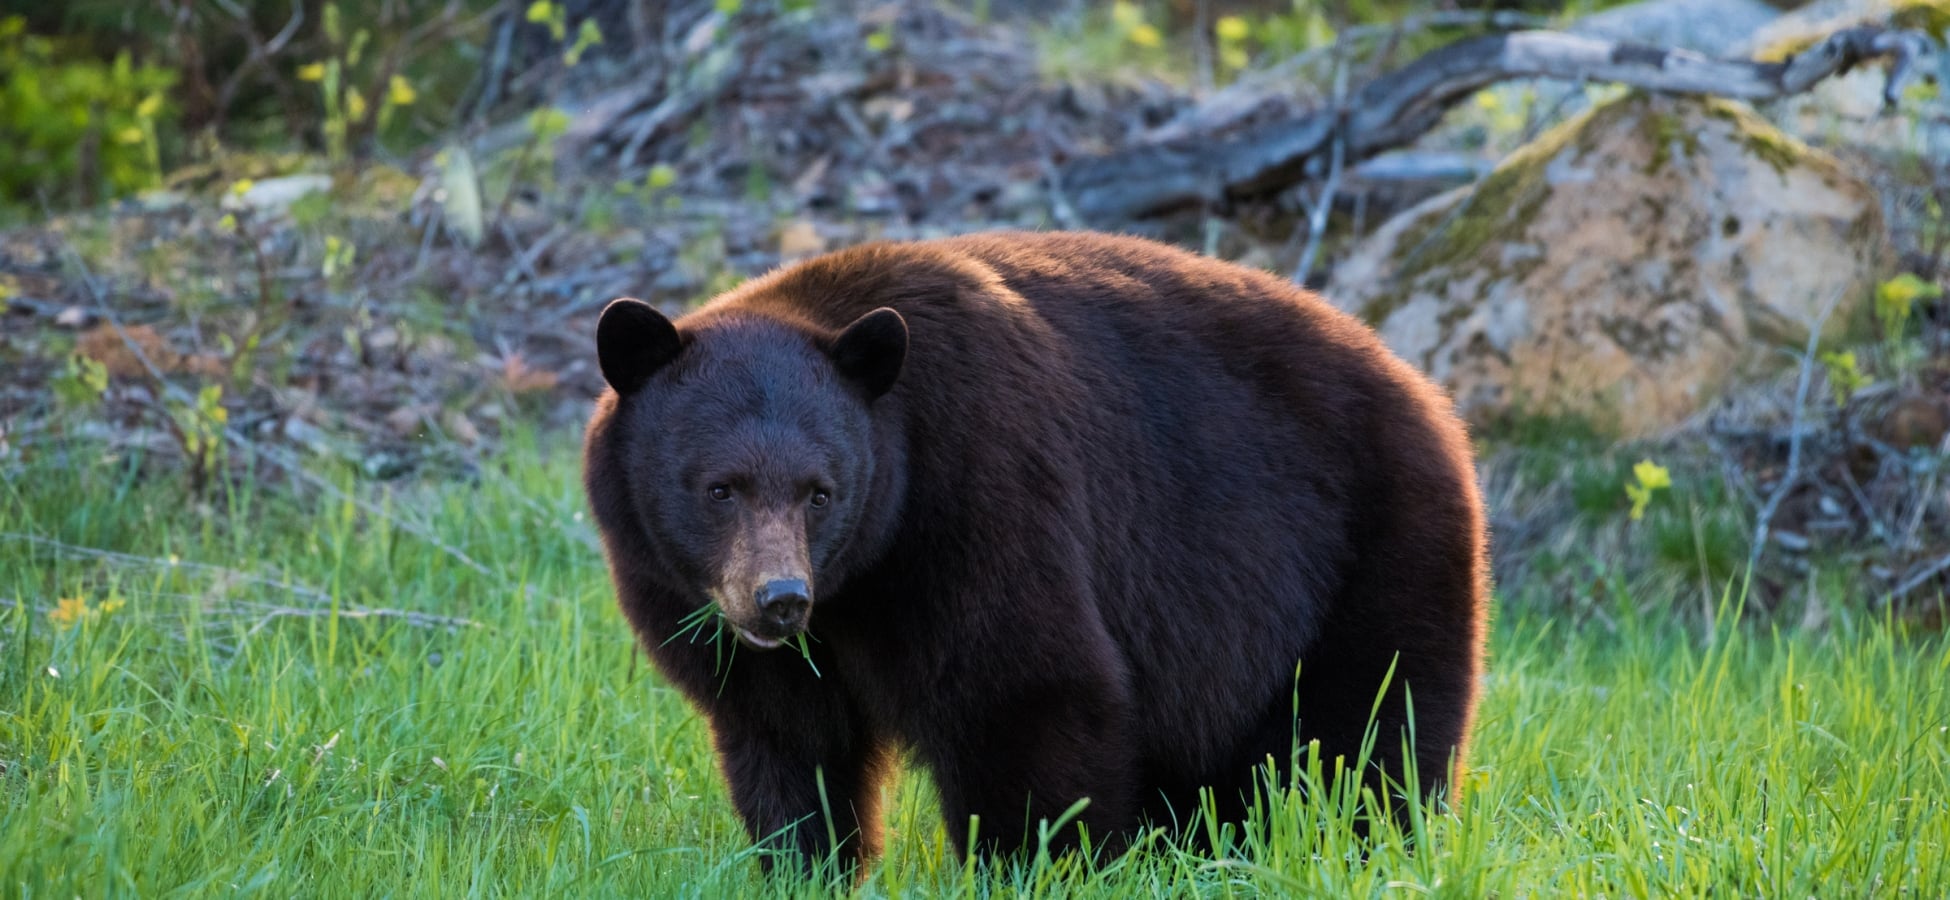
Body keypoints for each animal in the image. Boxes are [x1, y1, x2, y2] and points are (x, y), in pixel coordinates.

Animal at [581, 230, 1488, 874]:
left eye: (819, 491)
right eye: (720, 487)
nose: (779, 600)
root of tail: (1431, 396)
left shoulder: (980, 492)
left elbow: (1026, 687)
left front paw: (1035, 861)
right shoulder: (722, 621)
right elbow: (788, 744)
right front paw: (809, 863)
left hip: (1373, 547)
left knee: (1368, 731)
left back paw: (1359, 845)